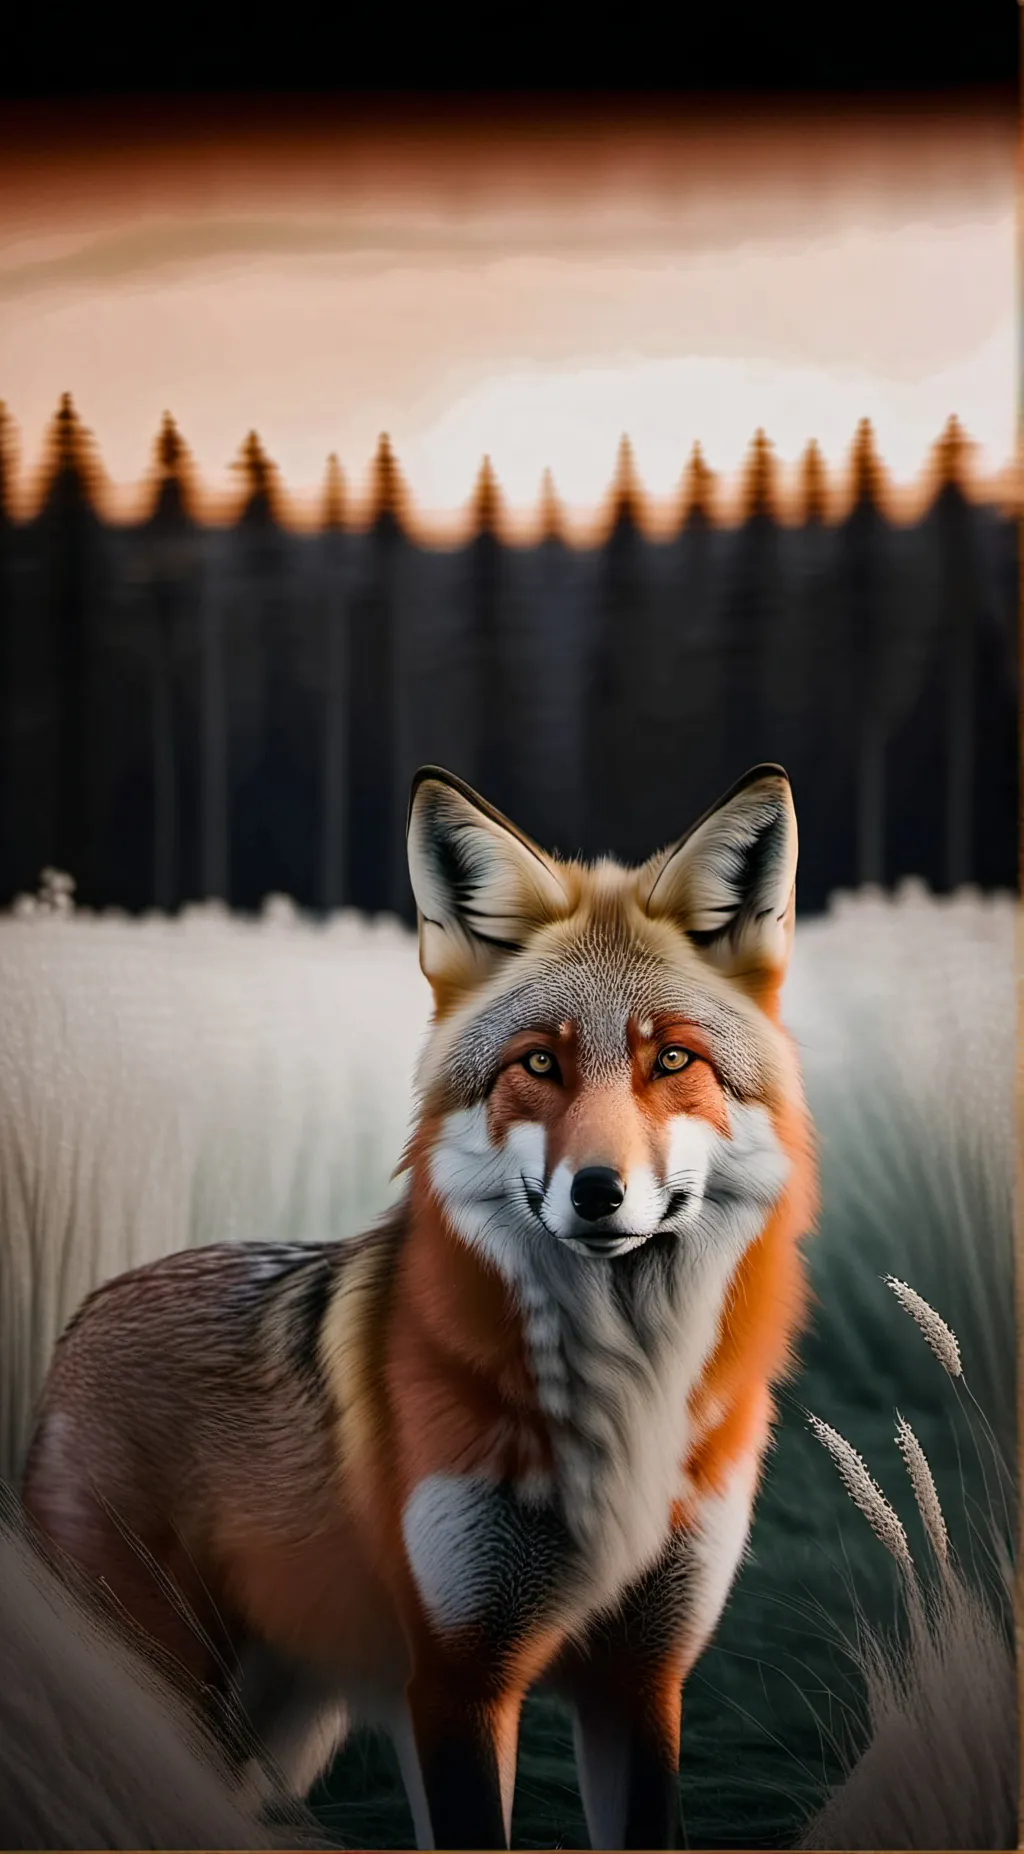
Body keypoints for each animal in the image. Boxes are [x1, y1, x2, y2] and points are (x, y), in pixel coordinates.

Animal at [20, 761, 818, 1853]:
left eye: (672, 1061)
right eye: (538, 1063)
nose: (598, 1192)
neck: (625, 1400)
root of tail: (83, 1316)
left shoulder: (642, 1681)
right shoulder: (456, 1676)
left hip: (277, 1730)